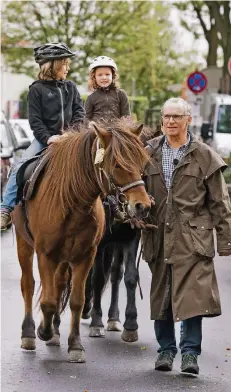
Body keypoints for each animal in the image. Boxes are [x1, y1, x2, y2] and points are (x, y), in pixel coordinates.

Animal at [14, 121, 152, 362]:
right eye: (117, 164)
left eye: (142, 162)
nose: (142, 206)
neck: (71, 200)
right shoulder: (45, 254)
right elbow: (48, 300)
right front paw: (43, 331)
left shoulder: (86, 254)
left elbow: (76, 299)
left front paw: (75, 345)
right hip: (24, 243)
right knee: (28, 284)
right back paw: (30, 333)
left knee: (61, 285)